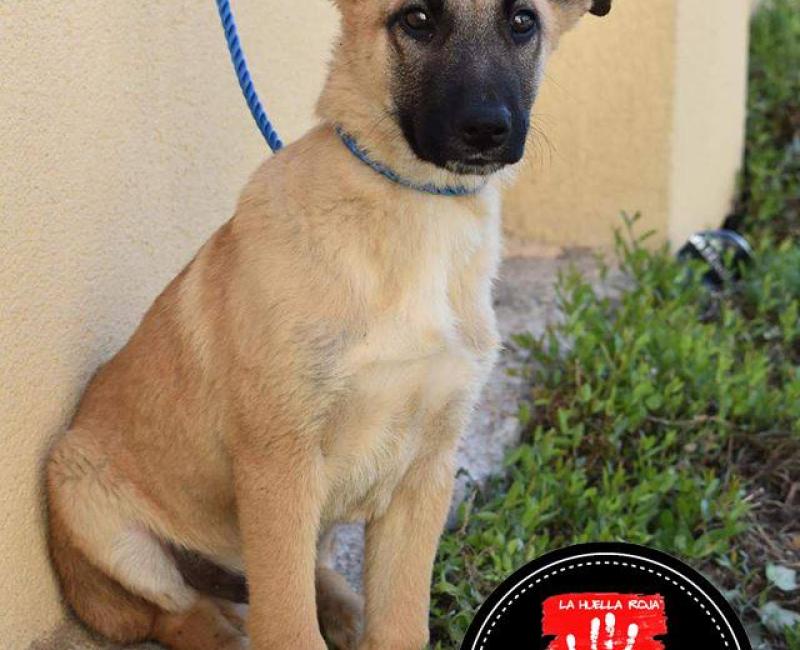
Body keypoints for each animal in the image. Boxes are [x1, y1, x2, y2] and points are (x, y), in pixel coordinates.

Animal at [45, 1, 612, 648]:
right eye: (416, 19)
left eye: (523, 22)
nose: (486, 128)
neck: (417, 211)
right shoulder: (279, 463)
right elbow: (288, 627)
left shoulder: (426, 470)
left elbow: (399, 624)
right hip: (91, 502)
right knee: (180, 612)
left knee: (298, 580)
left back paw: (342, 608)